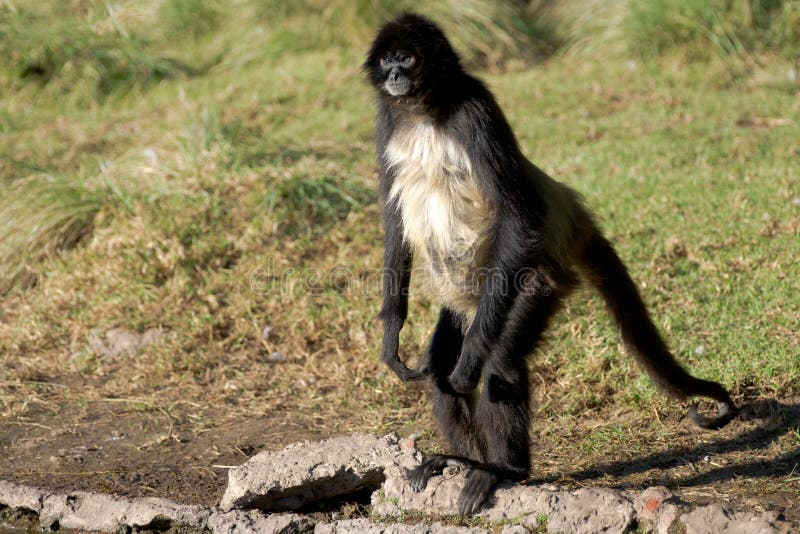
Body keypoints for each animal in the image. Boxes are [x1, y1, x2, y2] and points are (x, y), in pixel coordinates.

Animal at [362, 13, 736, 516]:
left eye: (407, 57)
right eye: (388, 61)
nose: (396, 76)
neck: (424, 111)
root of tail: (569, 216)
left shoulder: (476, 110)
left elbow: (519, 218)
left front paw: (469, 365)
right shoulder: (388, 120)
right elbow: (394, 222)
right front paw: (390, 335)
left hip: (532, 282)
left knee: (499, 360)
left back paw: (503, 469)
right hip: (470, 302)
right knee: (438, 369)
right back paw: (461, 460)